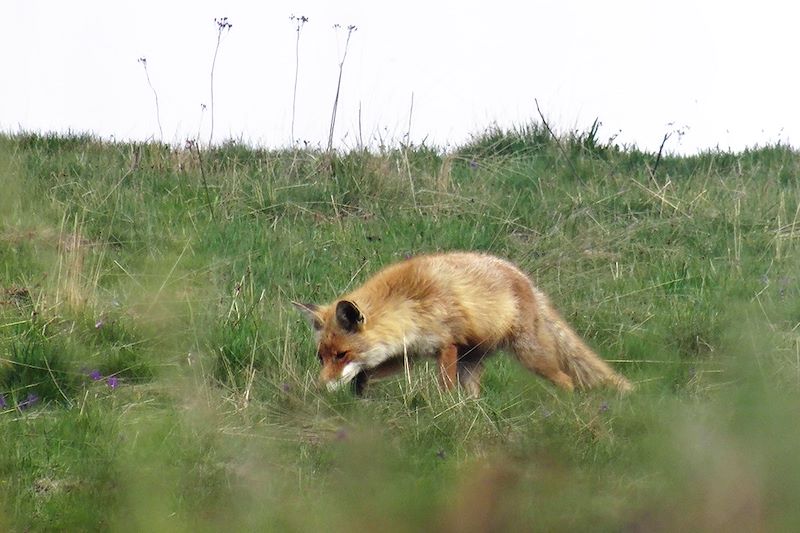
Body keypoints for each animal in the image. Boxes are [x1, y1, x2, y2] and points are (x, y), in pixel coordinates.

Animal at [293, 252, 632, 397]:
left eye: (342, 355)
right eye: (321, 358)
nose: (319, 388)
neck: (409, 306)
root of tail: (527, 282)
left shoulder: (447, 345)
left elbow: (444, 388)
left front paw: (442, 413)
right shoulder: (406, 355)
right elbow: (364, 375)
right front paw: (358, 398)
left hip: (531, 356)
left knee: (567, 379)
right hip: (472, 362)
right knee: (474, 396)